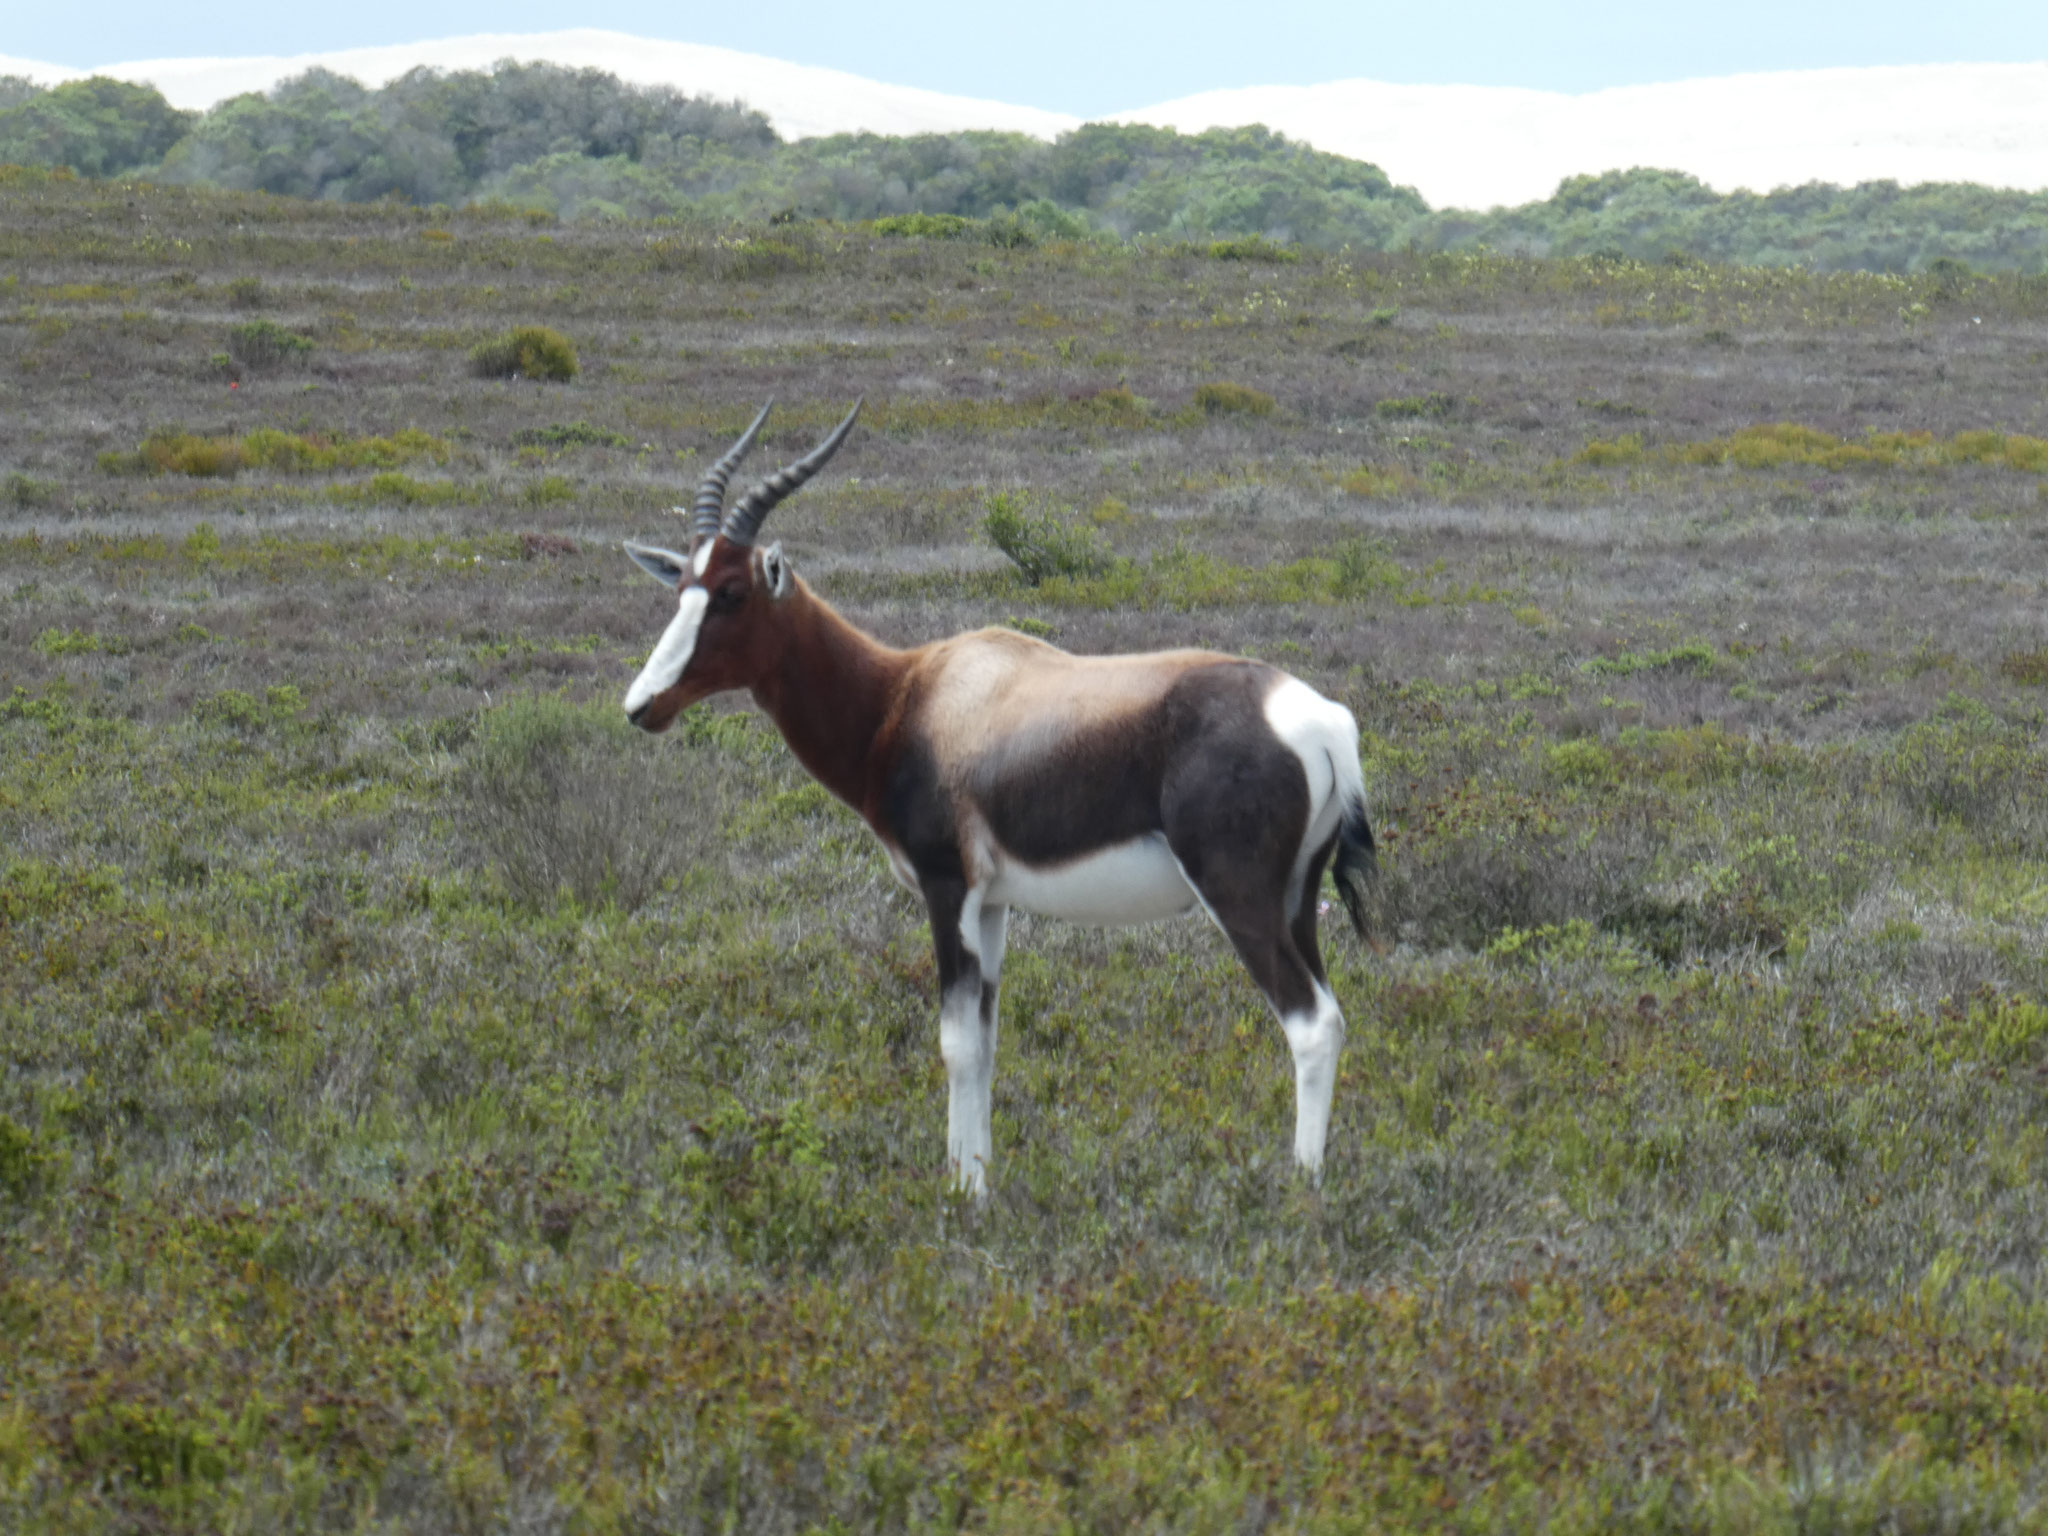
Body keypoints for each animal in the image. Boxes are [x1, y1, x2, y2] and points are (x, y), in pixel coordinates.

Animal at [618, 403, 1376, 1196]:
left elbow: (955, 1043)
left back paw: (1302, 1188)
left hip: (1238, 896)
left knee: (1311, 1024)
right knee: (1329, 1013)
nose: (642, 706)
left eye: (732, 593)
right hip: (1297, 901)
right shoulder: (994, 903)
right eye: (682, 588)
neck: (908, 696)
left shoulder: (947, 888)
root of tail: (1322, 720)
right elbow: (984, 1041)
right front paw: (975, 1182)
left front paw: (964, 1195)